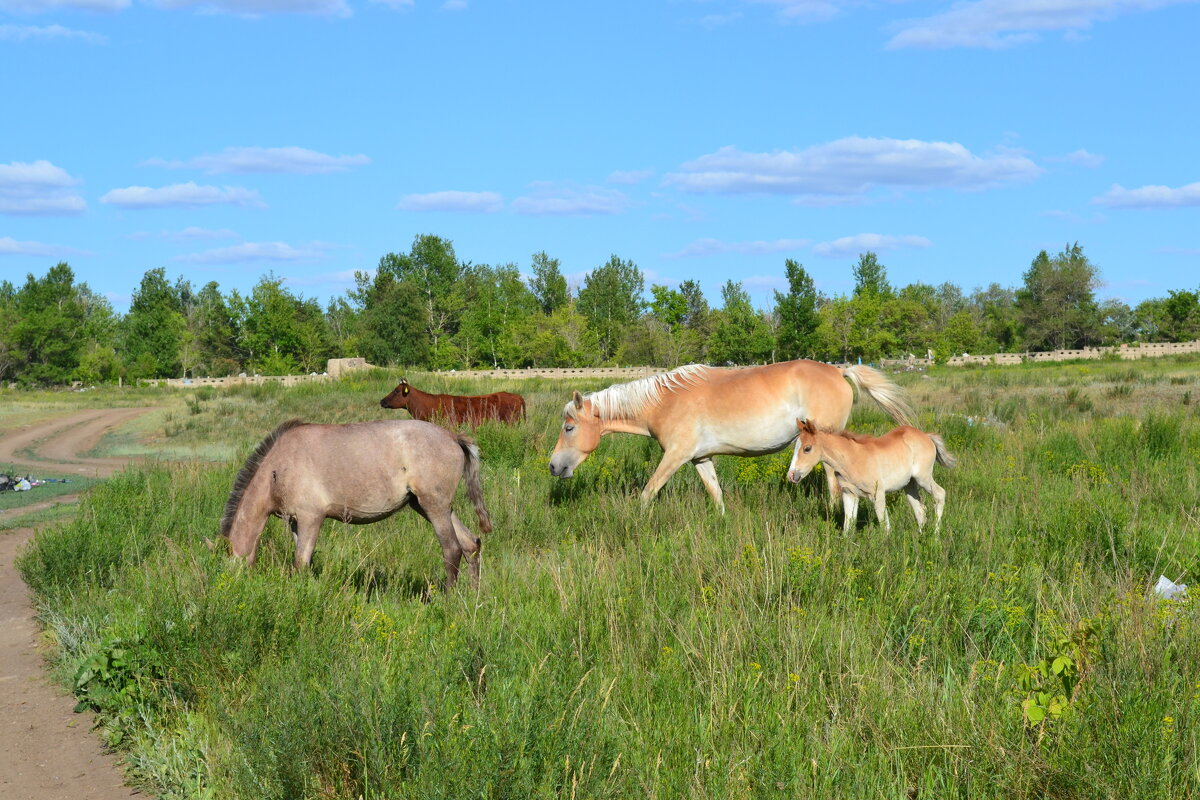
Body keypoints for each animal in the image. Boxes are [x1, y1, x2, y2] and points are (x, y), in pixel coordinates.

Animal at [218, 419, 489, 587]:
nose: (228, 589)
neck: (277, 470)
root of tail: (453, 437)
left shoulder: (311, 518)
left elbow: (301, 562)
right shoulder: (296, 522)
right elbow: (304, 560)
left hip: (434, 507)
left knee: (452, 550)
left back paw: (448, 600)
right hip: (430, 506)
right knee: (471, 544)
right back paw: (473, 597)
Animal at [549, 359, 912, 510]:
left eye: (569, 428)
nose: (553, 466)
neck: (664, 402)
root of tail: (838, 371)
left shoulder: (675, 456)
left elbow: (647, 493)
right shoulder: (700, 459)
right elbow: (716, 494)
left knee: (835, 487)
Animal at [787, 417, 955, 534]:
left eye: (807, 448)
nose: (792, 475)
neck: (852, 458)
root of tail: (926, 435)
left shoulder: (877, 494)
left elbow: (885, 526)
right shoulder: (849, 494)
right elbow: (848, 526)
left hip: (923, 478)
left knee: (940, 494)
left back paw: (935, 535)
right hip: (909, 485)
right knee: (920, 509)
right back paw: (921, 536)